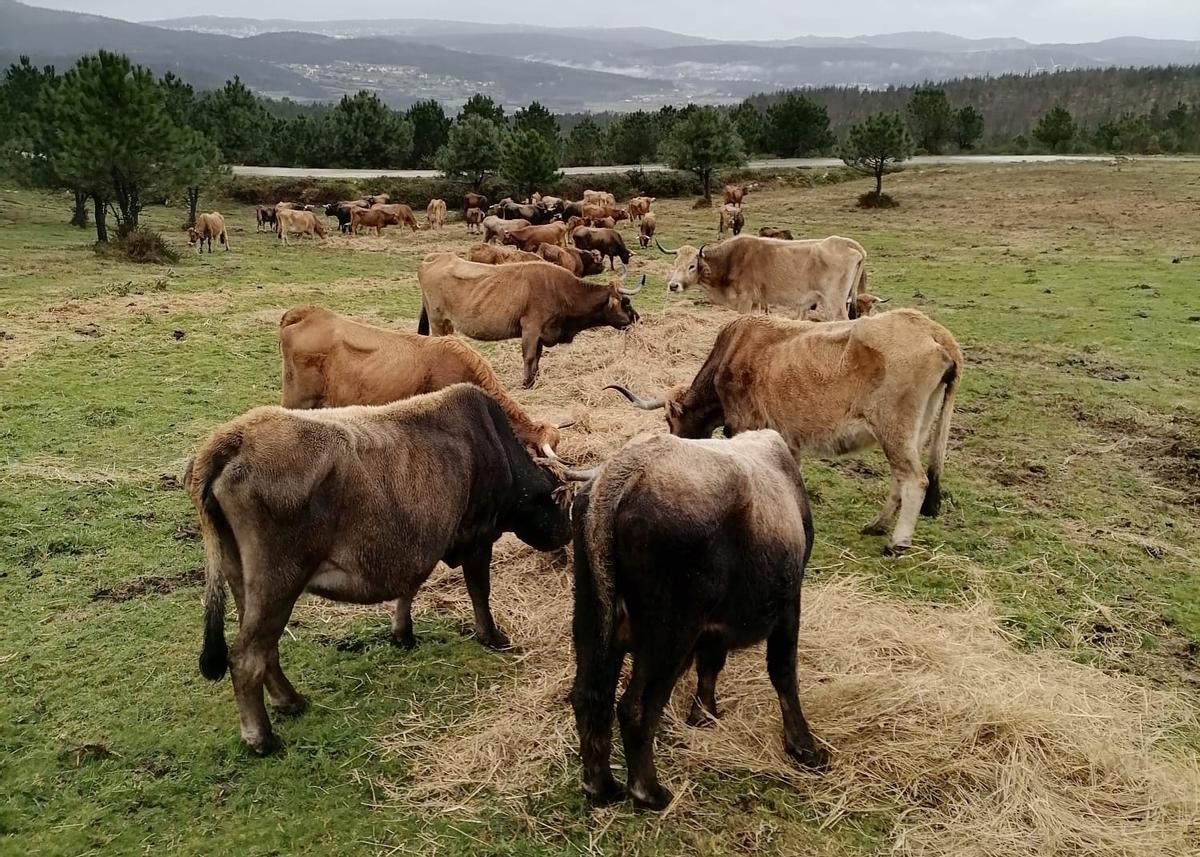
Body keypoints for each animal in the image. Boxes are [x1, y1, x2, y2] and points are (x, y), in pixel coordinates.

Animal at [187, 384, 573, 753]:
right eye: (560, 504)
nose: (567, 534)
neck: (495, 448)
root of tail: (235, 437)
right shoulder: (477, 537)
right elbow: (480, 591)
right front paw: (491, 636)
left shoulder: (417, 544)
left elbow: (410, 586)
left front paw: (402, 633)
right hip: (278, 583)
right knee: (247, 656)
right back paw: (261, 738)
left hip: (242, 578)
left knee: (265, 648)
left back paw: (290, 700)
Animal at [416, 252, 642, 387]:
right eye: (626, 302)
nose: (638, 318)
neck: (562, 292)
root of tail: (436, 258)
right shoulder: (531, 328)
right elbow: (529, 356)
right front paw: (526, 382)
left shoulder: (541, 333)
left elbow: (538, 357)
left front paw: (535, 378)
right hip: (437, 321)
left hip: (446, 324)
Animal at [568, 430, 826, 810]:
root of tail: (620, 477)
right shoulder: (789, 604)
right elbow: (783, 673)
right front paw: (803, 746)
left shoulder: (713, 629)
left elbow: (711, 665)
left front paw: (703, 714)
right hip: (670, 633)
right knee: (636, 708)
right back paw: (649, 791)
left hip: (593, 619)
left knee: (590, 695)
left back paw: (600, 785)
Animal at [605, 310, 962, 553]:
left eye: (669, 420)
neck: (732, 355)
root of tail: (932, 330)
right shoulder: (787, 440)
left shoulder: (745, 426)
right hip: (913, 431)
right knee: (900, 478)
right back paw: (876, 525)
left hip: (893, 428)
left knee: (915, 480)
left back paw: (897, 542)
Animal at [656, 235, 867, 320]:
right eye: (675, 263)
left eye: (692, 265)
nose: (673, 285)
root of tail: (840, 241)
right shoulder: (757, 303)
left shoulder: (744, 301)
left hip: (835, 303)